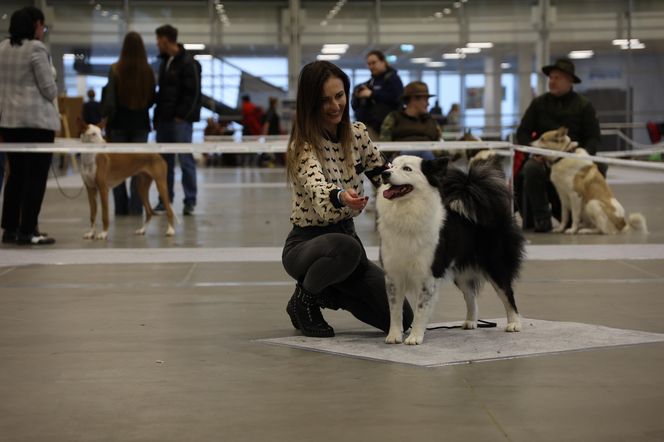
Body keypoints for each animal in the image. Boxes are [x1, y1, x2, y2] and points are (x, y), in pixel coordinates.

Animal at [376, 155, 528, 346]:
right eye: (391, 166)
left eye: (407, 169)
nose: (384, 173)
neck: (406, 211)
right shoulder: (393, 274)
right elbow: (395, 309)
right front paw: (394, 336)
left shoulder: (428, 274)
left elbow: (420, 309)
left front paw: (415, 337)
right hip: (461, 273)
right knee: (471, 297)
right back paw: (470, 322)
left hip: (495, 265)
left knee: (507, 293)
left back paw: (514, 323)